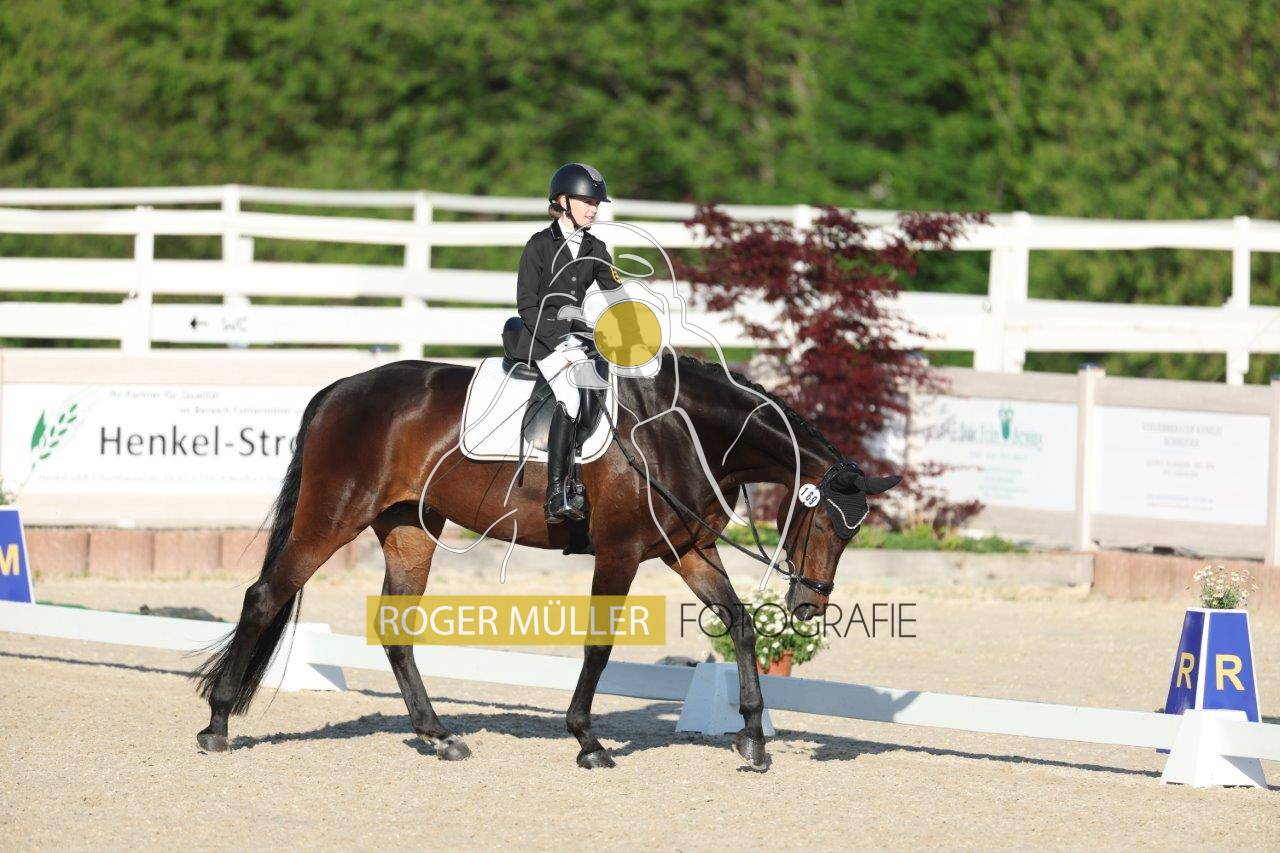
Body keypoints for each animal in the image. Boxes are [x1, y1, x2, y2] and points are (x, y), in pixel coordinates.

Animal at [193, 351, 900, 770]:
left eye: (854, 534)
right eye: (824, 522)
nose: (808, 606)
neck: (677, 430)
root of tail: (342, 389)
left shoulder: (687, 550)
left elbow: (741, 625)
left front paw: (752, 738)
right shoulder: (620, 552)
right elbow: (599, 647)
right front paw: (587, 740)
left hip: (409, 529)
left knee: (395, 632)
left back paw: (438, 735)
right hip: (334, 517)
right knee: (265, 597)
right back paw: (219, 724)